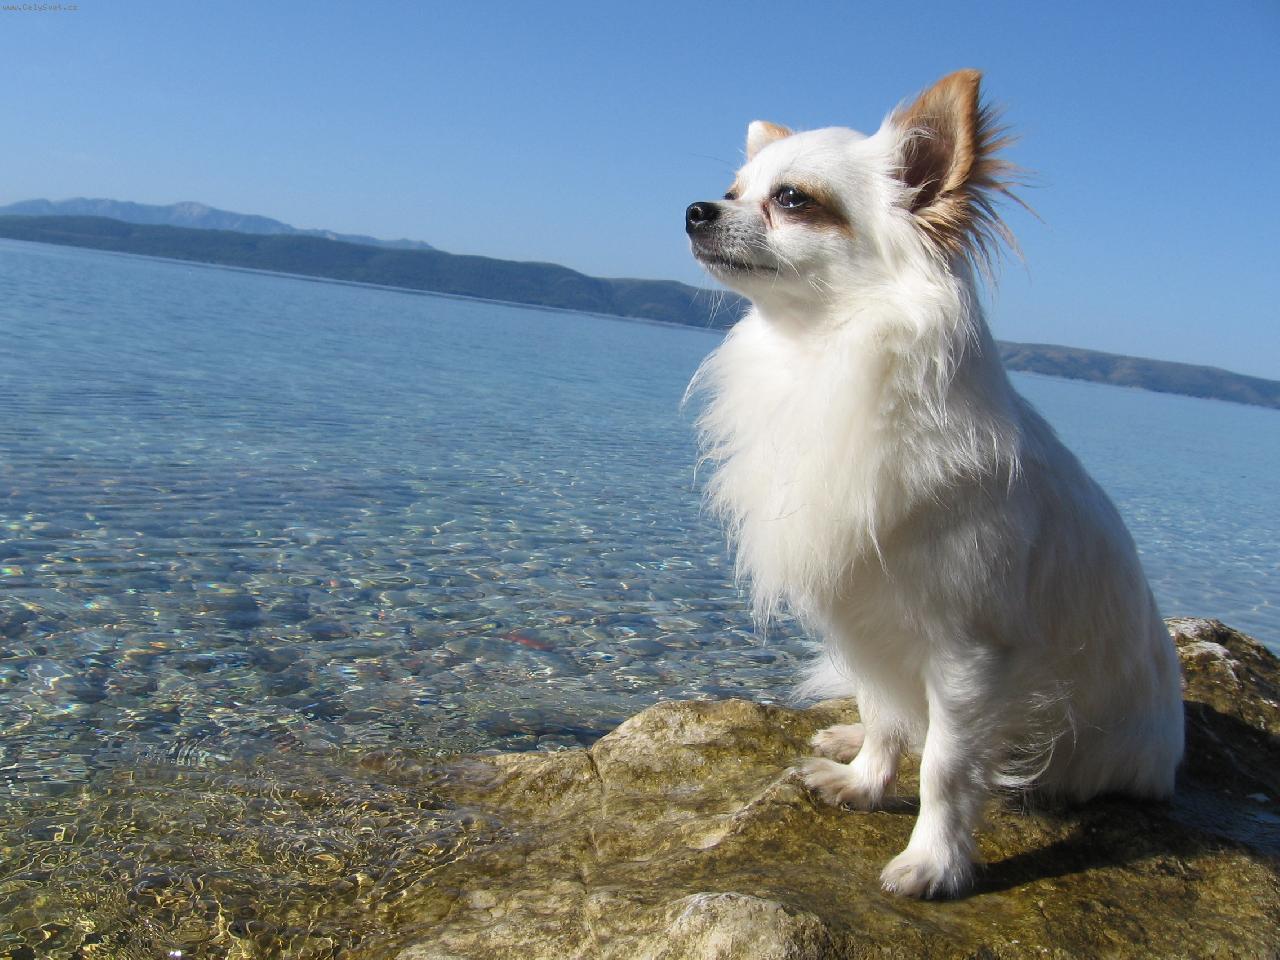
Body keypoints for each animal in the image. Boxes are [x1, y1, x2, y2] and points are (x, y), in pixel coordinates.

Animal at [684, 70, 1184, 899]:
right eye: (730, 191)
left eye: (793, 199)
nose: (695, 209)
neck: (820, 355)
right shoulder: (867, 620)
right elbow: (885, 714)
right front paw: (864, 780)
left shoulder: (967, 652)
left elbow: (947, 769)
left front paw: (935, 863)